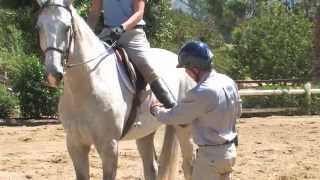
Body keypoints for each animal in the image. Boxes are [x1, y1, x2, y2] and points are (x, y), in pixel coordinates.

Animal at [35, 0, 195, 179]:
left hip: (185, 130)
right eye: (38, 27)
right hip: (145, 133)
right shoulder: (75, 144)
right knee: (151, 167)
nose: (52, 74)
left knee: (188, 166)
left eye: (67, 27)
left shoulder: (109, 146)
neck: (86, 87)